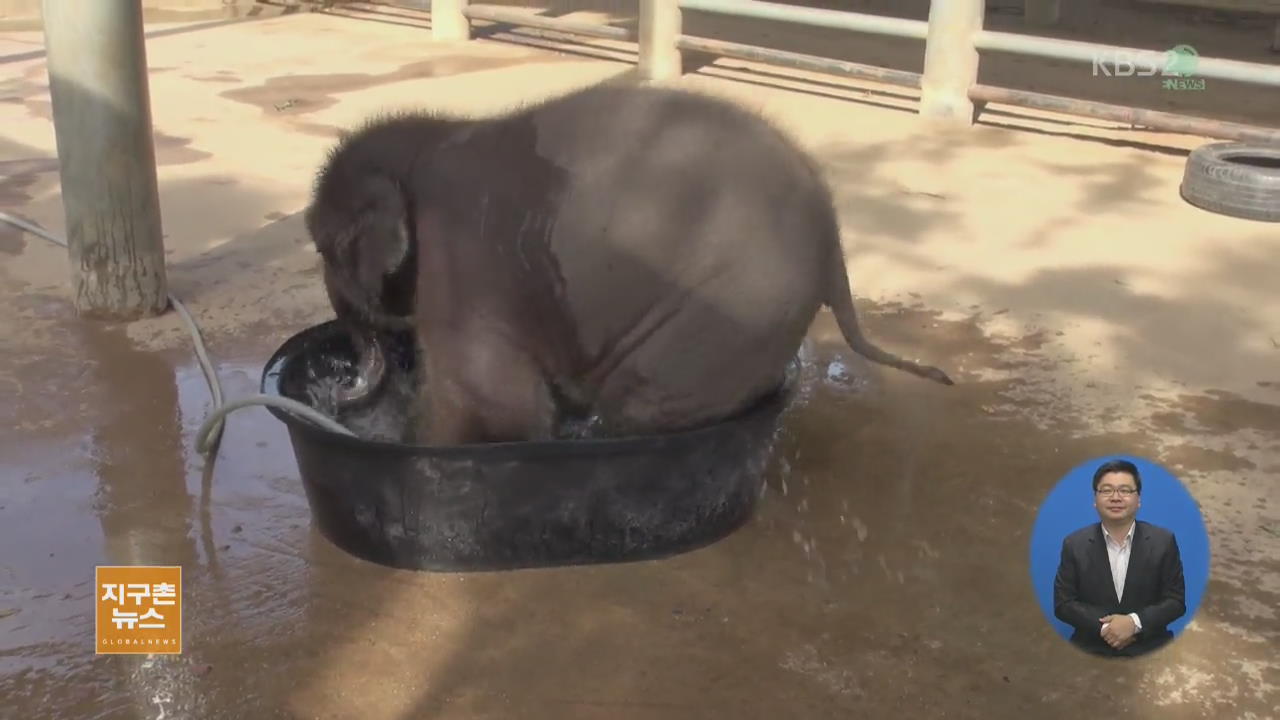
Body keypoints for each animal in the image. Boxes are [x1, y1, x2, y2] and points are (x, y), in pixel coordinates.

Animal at [304, 82, 957, 443]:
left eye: (323, 245)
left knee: (634, 406)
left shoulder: (462, 247)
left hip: (727, 317)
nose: (333, 391)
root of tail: (834, 240)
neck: (432, 134)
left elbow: (496, 399)